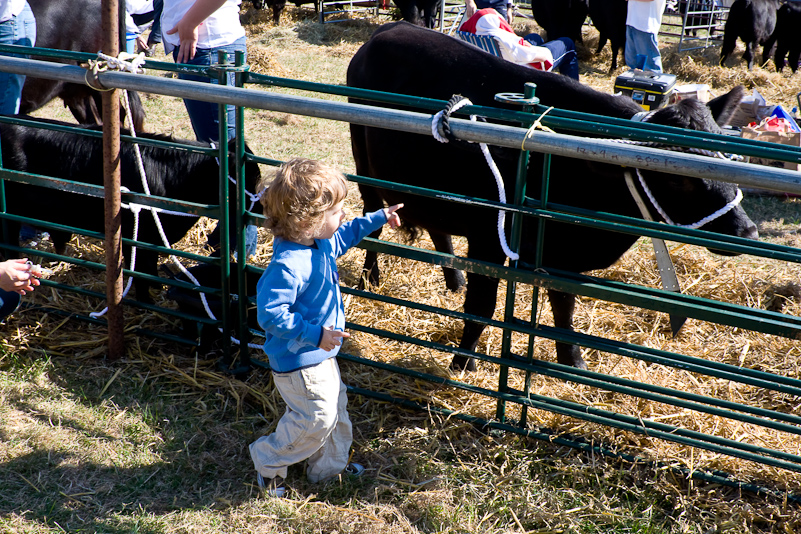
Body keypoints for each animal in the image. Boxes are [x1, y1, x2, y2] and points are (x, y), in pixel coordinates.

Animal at [0, 120, 260, 304]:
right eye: (248, 176)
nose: (258, 207)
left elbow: (151, 265)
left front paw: (157, 286)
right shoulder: (137, 235)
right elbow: (141, 270)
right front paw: (146, 300)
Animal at [346, 24, 756, 372]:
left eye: (728, 156)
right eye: (676, 176)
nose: (748, 231)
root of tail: (389, 30)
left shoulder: (561, 256)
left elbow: (564, 307)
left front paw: (572, 362)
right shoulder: (488, 237)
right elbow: (483, 305)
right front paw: (463, 363)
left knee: (436, 225)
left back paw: (454, 279)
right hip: (364, 166)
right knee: (373, 220)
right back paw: (369, 279)